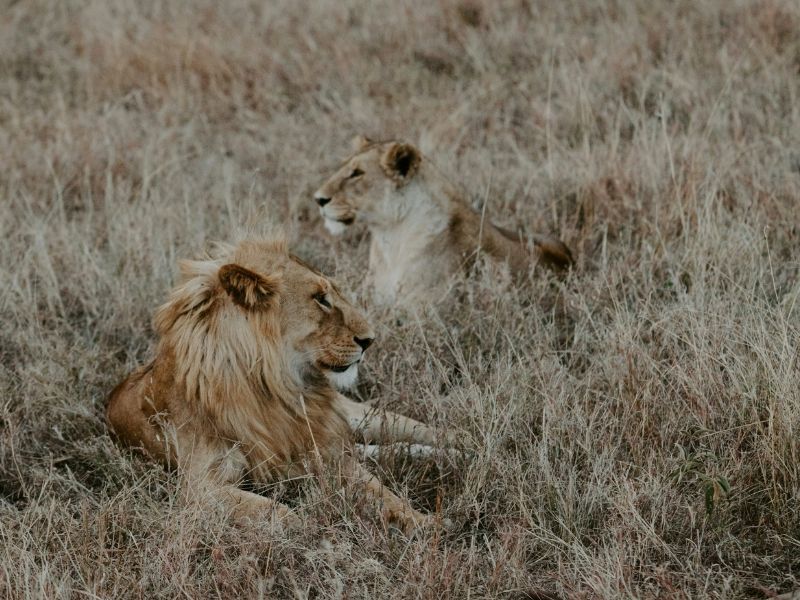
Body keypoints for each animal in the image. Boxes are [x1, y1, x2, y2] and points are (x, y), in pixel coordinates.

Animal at [107, 236, 449, 533]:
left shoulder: (329, 453)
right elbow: (278, 512)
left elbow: (381, 491)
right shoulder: (202, 487)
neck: (272, 388)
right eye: (321, 299)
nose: (370, 340)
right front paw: (320, 529)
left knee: (414, 430)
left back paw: (455, 446)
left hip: (358, 416)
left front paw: (426, 523)